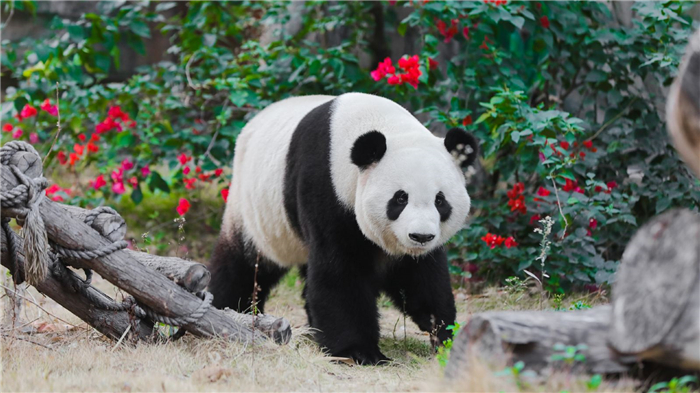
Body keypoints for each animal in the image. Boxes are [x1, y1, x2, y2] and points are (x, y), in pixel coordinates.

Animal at [211, 92, 478, 364]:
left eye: (440, 200)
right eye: (400, 198)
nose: (420, 236)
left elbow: (423, 279)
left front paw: (443, 334)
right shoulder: (327, 190)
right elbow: (339, 273)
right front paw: (360, 352)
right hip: (254, 207)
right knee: (243, 264)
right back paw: (230, 308)